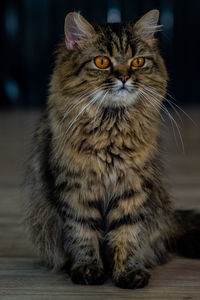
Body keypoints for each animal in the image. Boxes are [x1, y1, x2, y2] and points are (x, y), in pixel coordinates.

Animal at [25, 10, 200, 290]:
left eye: (138, 62)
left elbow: (127, 234)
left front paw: (128, 273)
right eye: (102, 62)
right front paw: (87, 270)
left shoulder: (132, 188)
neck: (111, 128)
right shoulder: (77, 190)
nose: (124, 77)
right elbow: (83, 234)